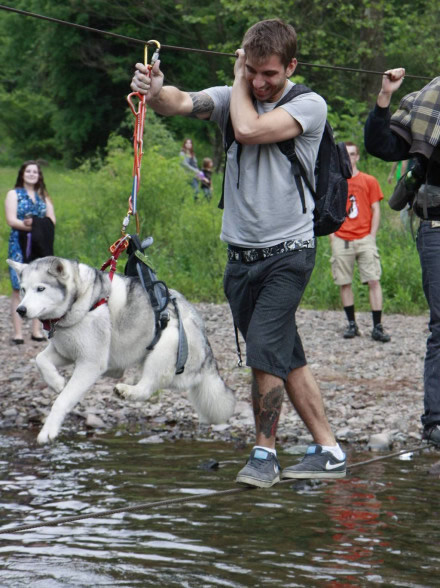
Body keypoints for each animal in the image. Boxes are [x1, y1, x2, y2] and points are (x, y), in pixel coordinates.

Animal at [6, 255, 235, 444]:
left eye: (40, 289)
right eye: (23, 289)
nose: (21, 310)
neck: (82, 303)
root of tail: (206, 345)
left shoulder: (89, 363)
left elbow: (62, 400)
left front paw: (48, 430)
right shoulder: (65, 352)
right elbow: (40, 359)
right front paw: (55, 382)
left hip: (167, 345)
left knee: (148, 387)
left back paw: (128, 390)